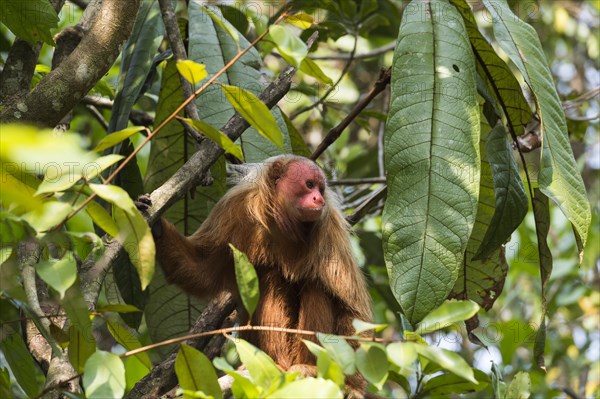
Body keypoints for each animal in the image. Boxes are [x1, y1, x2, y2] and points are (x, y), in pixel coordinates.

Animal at [138, 155, 370, 396]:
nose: (318, 198)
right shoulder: (234, 208)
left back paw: (307, 368)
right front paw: (156, 227)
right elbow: (200, 269)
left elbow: (352, 310)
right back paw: (277, 363)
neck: (282, 223)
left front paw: (353, 387)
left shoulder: (329, 227)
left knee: (317, 287)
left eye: (320, 188)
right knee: (269, 277)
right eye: (309, 185)